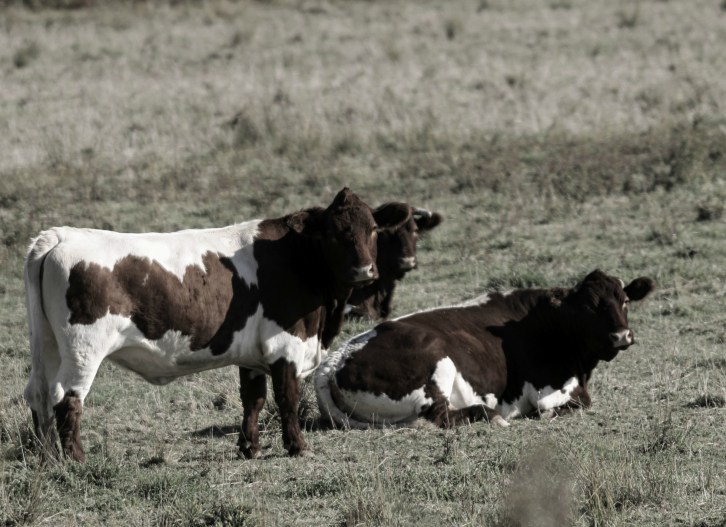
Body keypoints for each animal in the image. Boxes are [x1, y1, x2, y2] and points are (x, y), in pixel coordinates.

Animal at [23, 188, 412, 461]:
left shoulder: (252, 352)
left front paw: (249, 448)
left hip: (47, 345)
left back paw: (46, 458)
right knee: (66, 397)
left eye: (373, 229)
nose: (364, 270)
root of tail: (61, 235)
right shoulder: (285, 344)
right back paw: (75, 458)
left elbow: (253, 400)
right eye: (334, 233)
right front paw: (297, 446)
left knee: (37, 393)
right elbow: (286, 397)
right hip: (82, 349)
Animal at [315, 270, 654, 429]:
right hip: (436, 359)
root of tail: (332, 363)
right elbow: (575, 402)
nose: (621, 335)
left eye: (625, 300)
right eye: (588, 307)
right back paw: (490, 415)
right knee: (442, 415)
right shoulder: (548, 389)